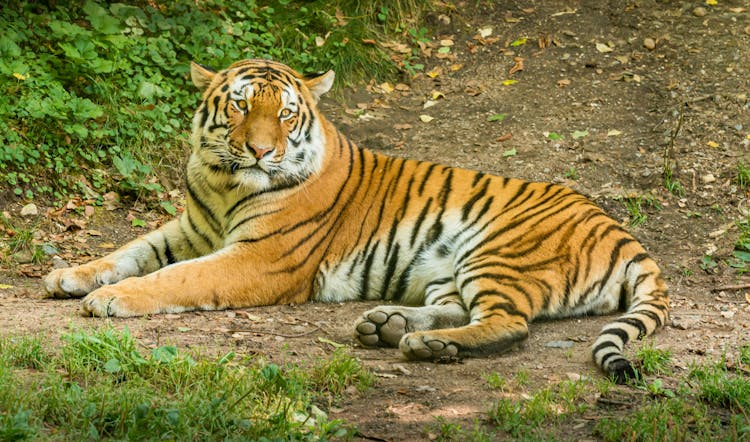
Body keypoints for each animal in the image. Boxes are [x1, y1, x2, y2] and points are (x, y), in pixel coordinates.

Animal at [44, 59, 672, 384]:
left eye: (285, 114)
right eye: (241, 106)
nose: (261, 152)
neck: (225, 183)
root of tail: (622, 231)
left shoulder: (258, 258)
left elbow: (176, 277)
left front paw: (110, 300)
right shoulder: (190, 229)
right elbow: (131, 251)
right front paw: (69, 275)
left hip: (497, 249)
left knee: (510, 324)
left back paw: (422, 346)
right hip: (449, 267)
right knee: (461, 308)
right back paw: (389, 326)